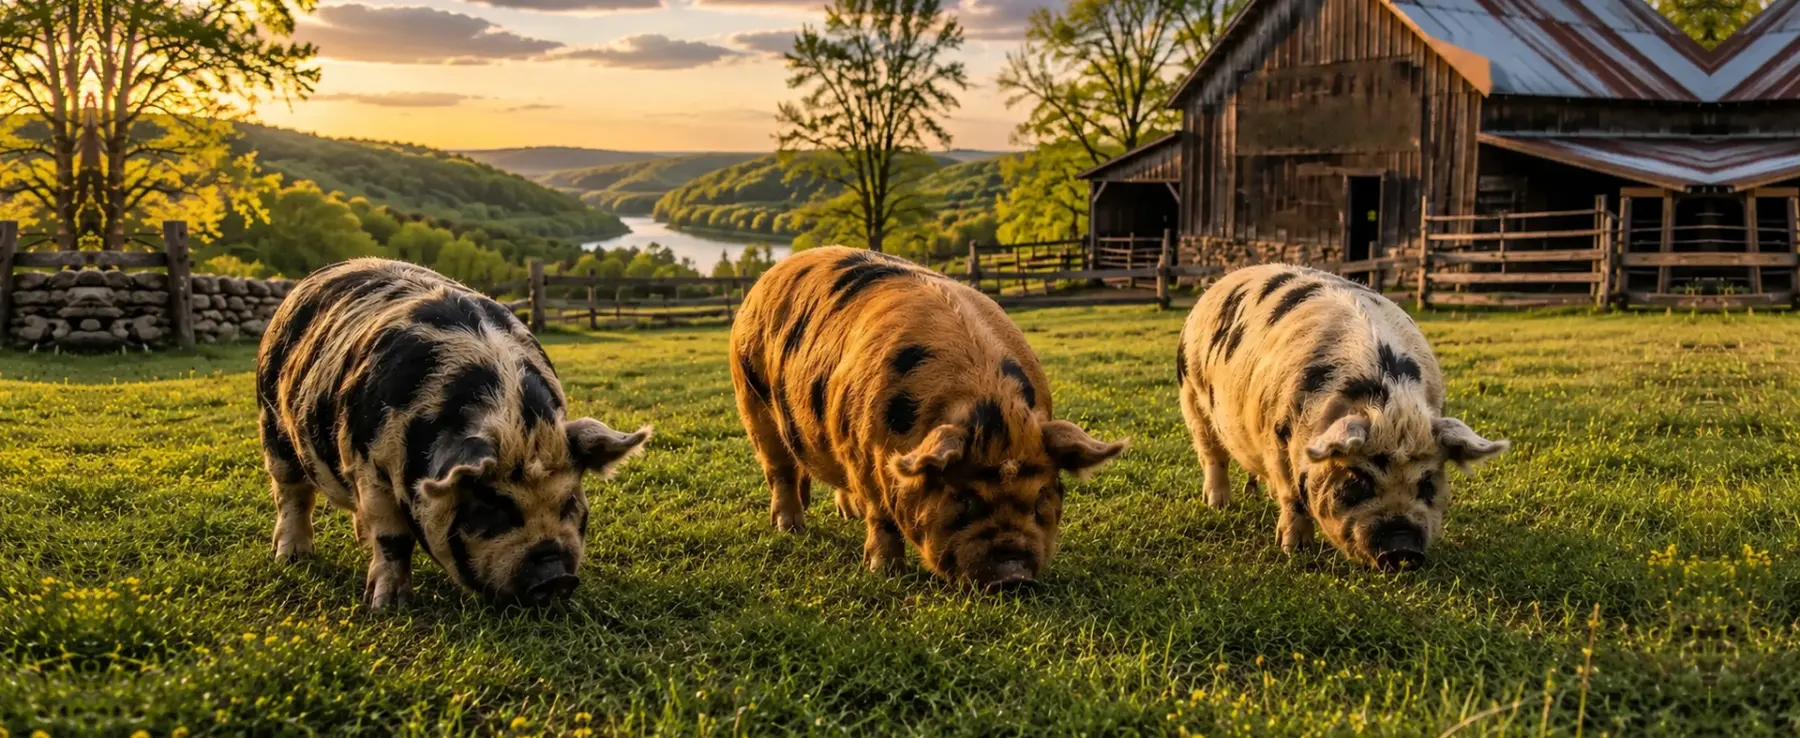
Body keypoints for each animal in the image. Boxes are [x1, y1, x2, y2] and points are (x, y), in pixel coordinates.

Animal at [257, 258, 650, 607]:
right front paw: (388, 605)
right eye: (490, 505)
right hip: (271, 422)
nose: (557, 577)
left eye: (569, 502)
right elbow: (392, 537)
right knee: (292, 494)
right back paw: (292, 557)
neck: (513, 423)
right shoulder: (367, 465)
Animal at [728, 247, 1127, 592]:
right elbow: (882, 518)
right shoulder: (863, 454)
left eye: (1043, 494)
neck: (983, 398)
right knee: (779, 470)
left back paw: (848, 514)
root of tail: (766, 278)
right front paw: (883, 572)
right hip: (751, 402)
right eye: (964, 498)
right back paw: (790, 528)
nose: (1013, 576)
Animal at [1177, 264, 1508, 570]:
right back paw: (1218, 505)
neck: (1387, 406)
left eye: (1427, 483)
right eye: (1356, 480)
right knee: (1212, 454)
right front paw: (1295, 551)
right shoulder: (1275, 437)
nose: (1402, 549)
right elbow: (1292, 497)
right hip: (1191, 395)